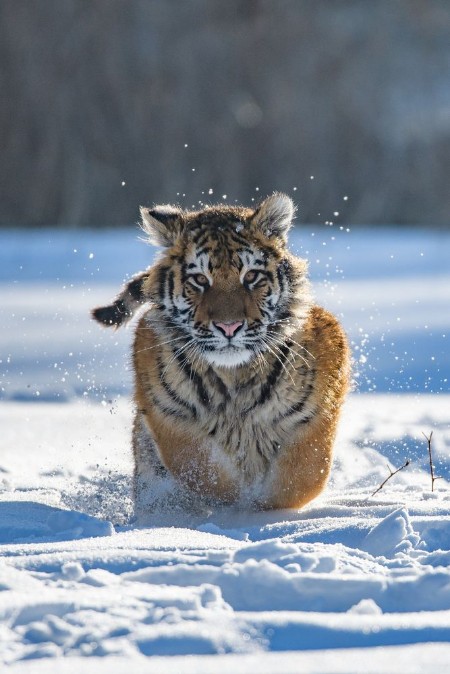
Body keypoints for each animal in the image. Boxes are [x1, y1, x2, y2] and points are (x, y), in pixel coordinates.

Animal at [92, 193, 350, 516]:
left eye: (251, 276)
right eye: (201, 280)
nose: (229, 326)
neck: (234, 375)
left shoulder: (318, 408)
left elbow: (302, 476)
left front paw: (260, 509)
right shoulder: (168, 414)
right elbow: (203, 470)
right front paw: (232, 506)